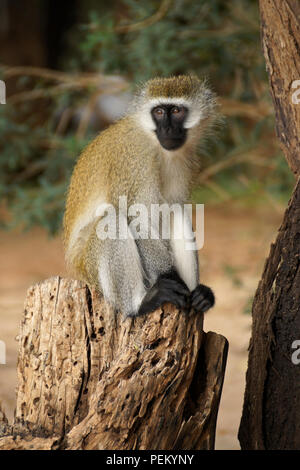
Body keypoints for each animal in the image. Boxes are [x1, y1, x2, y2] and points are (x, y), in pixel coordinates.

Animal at [63, 75, 218, 318]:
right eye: (159, 112)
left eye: (176, 111)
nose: (167, 129)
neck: (155, 145)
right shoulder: (133, 159)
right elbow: (135, 215)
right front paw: (170, 277)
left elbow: (169, 208)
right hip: (90, 269)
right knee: (111, 220)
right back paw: (140, 304)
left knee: (175, 211)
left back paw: (196, 297)